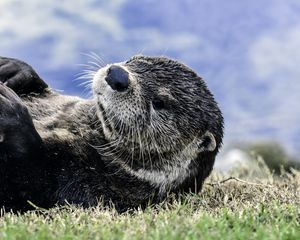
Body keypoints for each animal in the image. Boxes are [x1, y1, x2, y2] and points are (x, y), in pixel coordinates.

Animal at [0, 54, 224, 212]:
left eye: (159, 103)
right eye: (135, 60)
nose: (117, 74)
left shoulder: (90, 190)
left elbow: (32, 181)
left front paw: (13, 113)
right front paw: (14, 69)